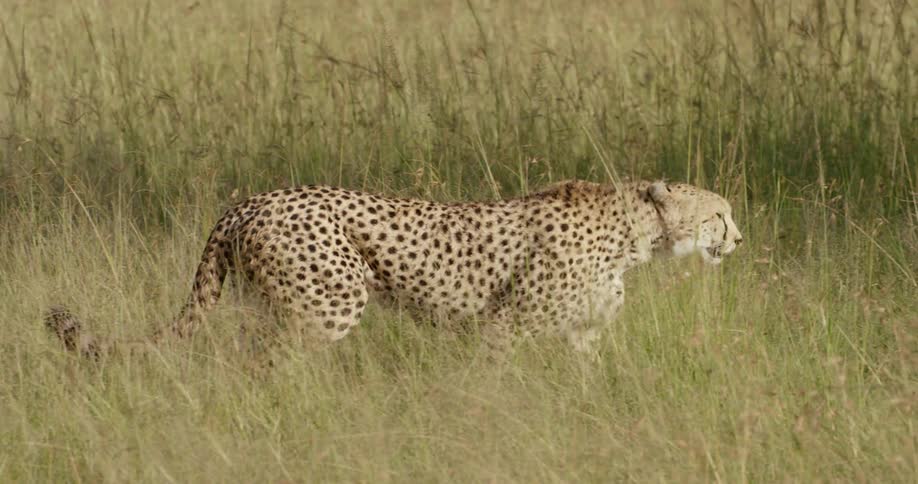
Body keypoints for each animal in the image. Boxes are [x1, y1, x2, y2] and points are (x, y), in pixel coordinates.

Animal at [45, 179, 743, 361]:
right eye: (719, 214)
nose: (739, 237)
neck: (638, 233)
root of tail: (251, 200)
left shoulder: (582, 336)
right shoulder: (505, 326)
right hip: (329, 303)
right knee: (267, 363)